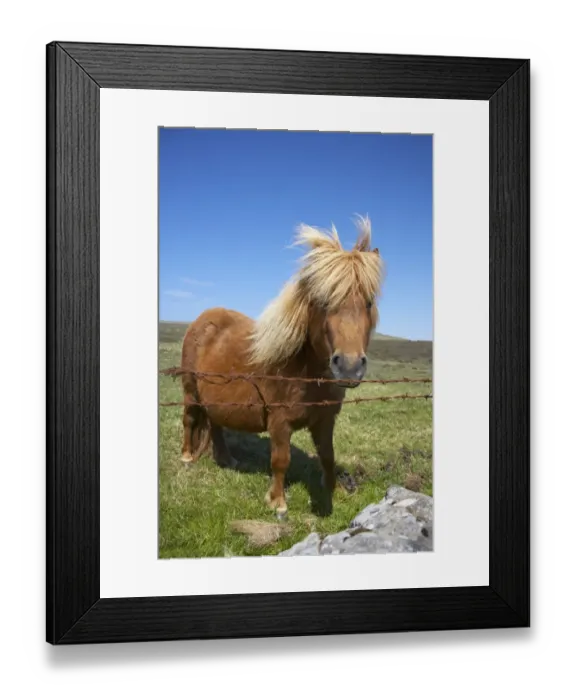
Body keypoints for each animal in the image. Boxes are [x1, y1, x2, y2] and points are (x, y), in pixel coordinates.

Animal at [179, 215, 384, 518]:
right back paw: (186, 456)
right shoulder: (279, 421)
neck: (305, 374)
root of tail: (202, 320)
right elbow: (281, 459)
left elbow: (327, 456)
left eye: (368, 303)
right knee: (190, 419)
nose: (348, 367)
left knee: (215, 425)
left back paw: (227, 459)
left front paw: (332, 488)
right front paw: (277, 502)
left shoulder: (325, 420)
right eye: (323, 302)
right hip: (191, 392)